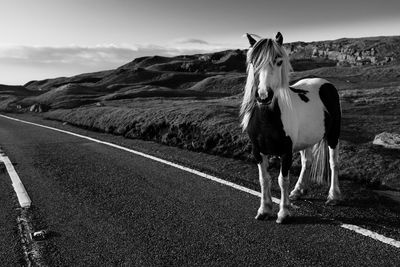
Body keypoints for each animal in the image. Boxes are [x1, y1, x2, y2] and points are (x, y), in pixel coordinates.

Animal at [239, 31, 342, 224]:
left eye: (279, 61)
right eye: (253, 62)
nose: (263, 96)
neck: (267, 119)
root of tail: (325, 83)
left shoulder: (286, 152)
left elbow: (282, 180)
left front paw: (284, 213)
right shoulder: (258, 151)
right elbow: (264, 179)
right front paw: (264, 209)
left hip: (333, 135)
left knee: (333, 163)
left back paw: (333, 196)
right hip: (306, 140)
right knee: (307, 161)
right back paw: (299, 190)